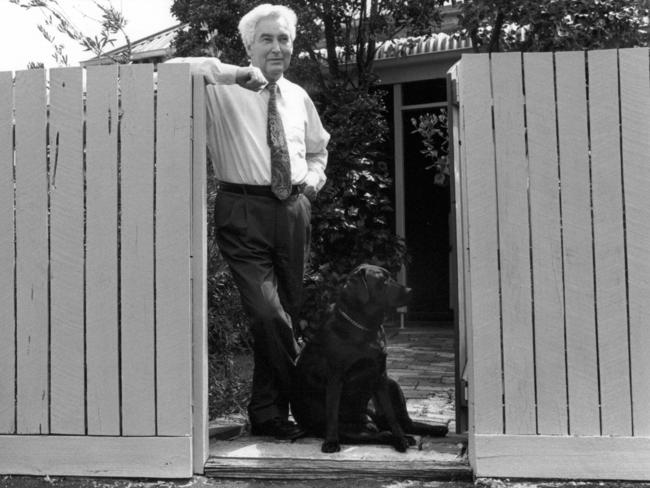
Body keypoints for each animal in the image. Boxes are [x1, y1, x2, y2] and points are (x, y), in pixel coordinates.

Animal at [292, 264, 448, 454]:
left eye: (391, 277)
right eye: (384, 281)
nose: (410, 290)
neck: (366, 327)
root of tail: (369, 422)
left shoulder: (380, 376)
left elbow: (391, 414)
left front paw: (400, 437)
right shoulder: (335, 377)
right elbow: (332, 412)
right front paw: (331, 442)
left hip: (392, 385)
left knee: (403, 424)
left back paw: (430, 431)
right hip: (353, 431)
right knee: (381, 434)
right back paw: (404, 438)